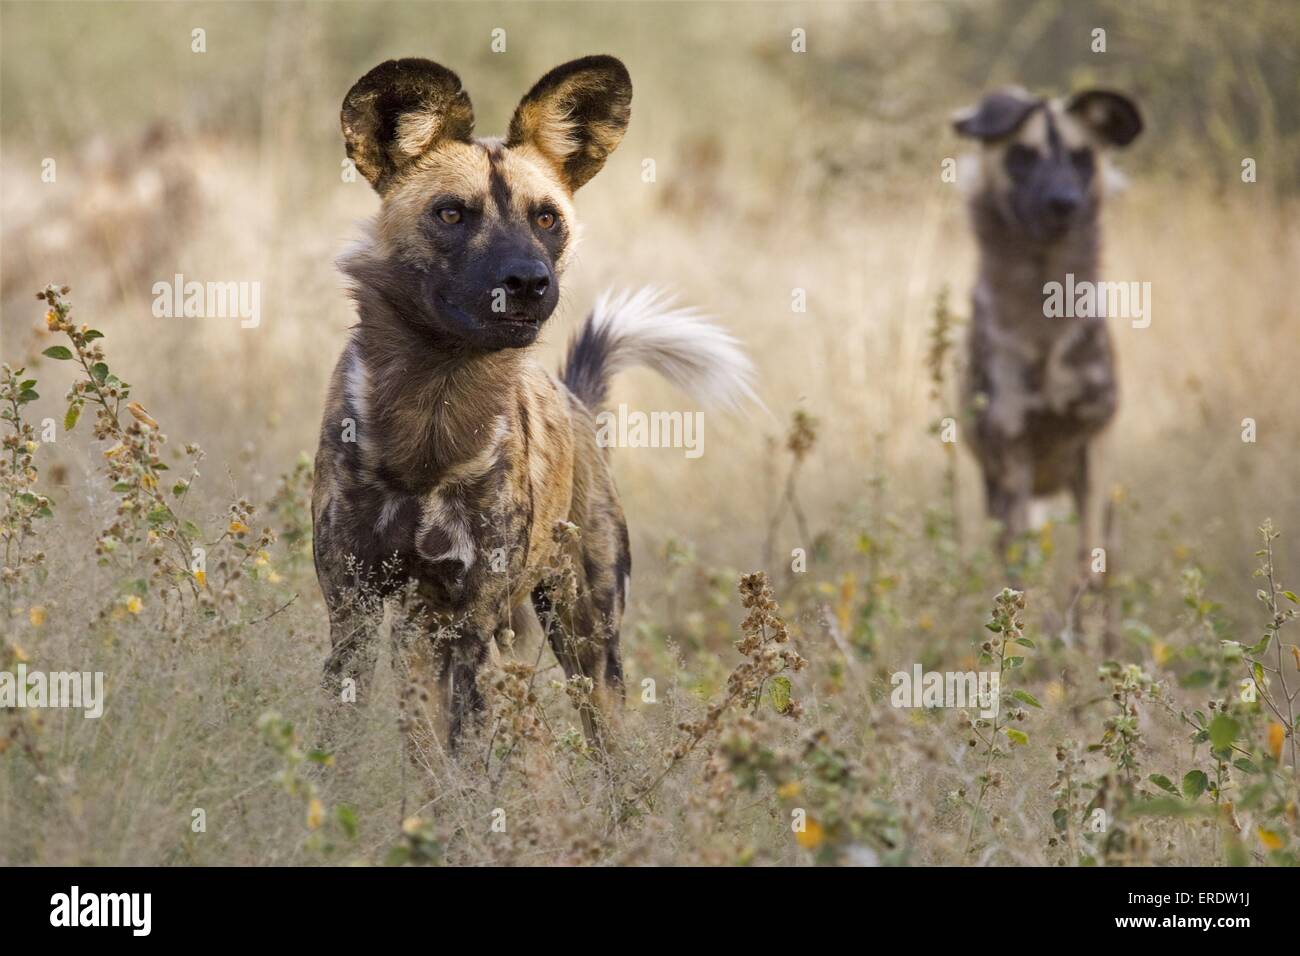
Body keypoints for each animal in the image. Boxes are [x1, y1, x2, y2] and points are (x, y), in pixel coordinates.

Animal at [314, 54, 759, 754]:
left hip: (584, 641)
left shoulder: (472, 624)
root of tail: (575, 401)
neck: (432, 417)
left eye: (547, 218)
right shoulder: (353, 611)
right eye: (452, 214)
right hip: (432, 630)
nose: (528, 282)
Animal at [951, 87, 1144, 567]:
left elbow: (1089, 564)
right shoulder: (1011, 458)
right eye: (1022, 155)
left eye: (1081, 157)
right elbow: (1019, 574)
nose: (1064, 202)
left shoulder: (1093, 449)